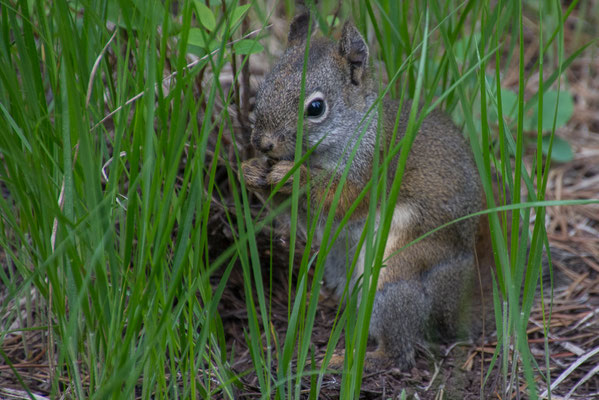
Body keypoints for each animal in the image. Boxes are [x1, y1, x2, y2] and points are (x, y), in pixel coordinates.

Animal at [241, 13, 486, 372]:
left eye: (316, 107)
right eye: (262, 91)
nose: (263, 143)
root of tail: (456, 302)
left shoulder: (371, 169)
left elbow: (342, 199)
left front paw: (295, 175)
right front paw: (250, 170)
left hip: (395, 271)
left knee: (400, 349)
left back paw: (350, 359)